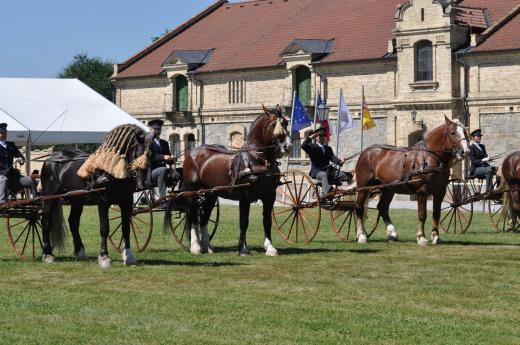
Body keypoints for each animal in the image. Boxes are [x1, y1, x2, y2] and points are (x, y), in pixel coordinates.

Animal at [41, 123, 148, 266]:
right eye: (137, 151)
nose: (143, 181)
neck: (113, 172)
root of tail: (50, 158)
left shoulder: (127, 202)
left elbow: (126, 228)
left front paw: (128, 257)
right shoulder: (103, 202)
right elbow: (104, 228)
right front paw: (104, 257)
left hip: (77, 200)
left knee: (73, 222)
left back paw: (80, 252)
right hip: (49, 198)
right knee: (46, 222)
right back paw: (47, 254)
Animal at [168, 105, 292, 255]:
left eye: (285, 123)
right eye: (273, 124)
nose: (288, 146)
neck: (257, 160)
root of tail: (191, 153)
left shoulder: (270, 196)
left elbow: (267, 221)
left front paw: (270, 247)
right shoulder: (245, 196)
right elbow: (244, 222)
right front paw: (243, 248)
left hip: (210, 194)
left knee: (203, 218)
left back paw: (207, 246)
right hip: (192, 192)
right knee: (192, 216)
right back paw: (196, 246)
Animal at [356, 115, 470, 245]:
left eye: (465, 132)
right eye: (452, 132)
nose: (465, 152)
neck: (430, 157)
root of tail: (366, 151)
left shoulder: (440, 192)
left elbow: (436, 214)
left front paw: (436, 237)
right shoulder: (422, 191)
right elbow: (422, 214)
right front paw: (421, 237)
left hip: (388, 189)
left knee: (383, 208)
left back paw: (392, 234)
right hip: (363, 187)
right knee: (359, 208)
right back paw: (361, 236)